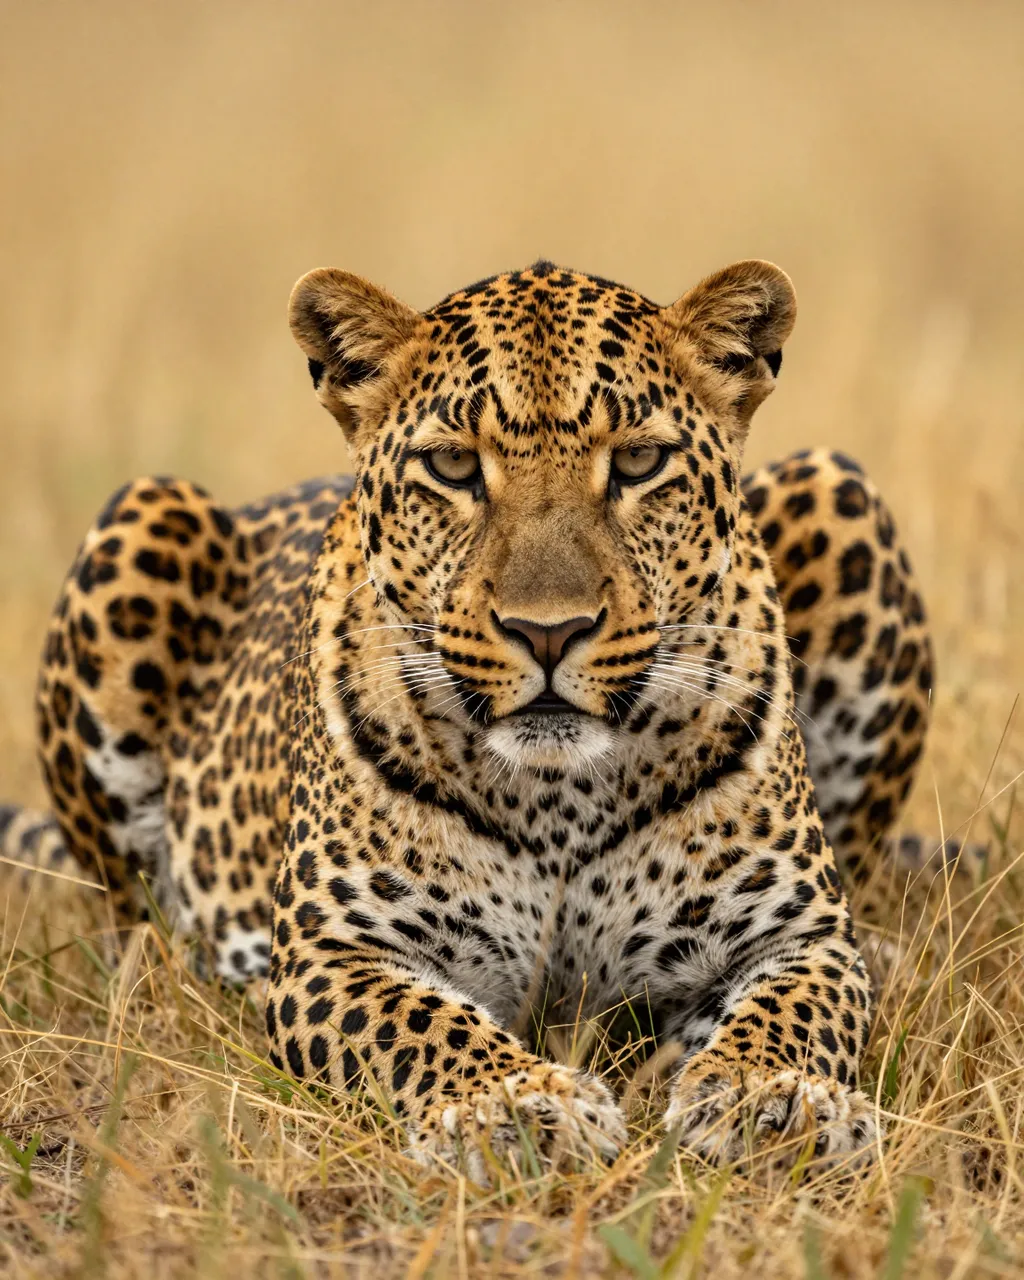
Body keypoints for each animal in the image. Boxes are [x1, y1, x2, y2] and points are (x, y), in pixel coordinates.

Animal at [1, 258, 955, 1179]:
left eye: (640, 462)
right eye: (456, 468)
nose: (549, 630)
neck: (562, 798)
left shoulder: (798, 933)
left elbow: (795, 1014)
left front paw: (776, 1098)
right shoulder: (332, 952)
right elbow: (423, 1025)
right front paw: (518, 1105)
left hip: (836, 485)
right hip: (144, 514)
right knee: (133, 926)